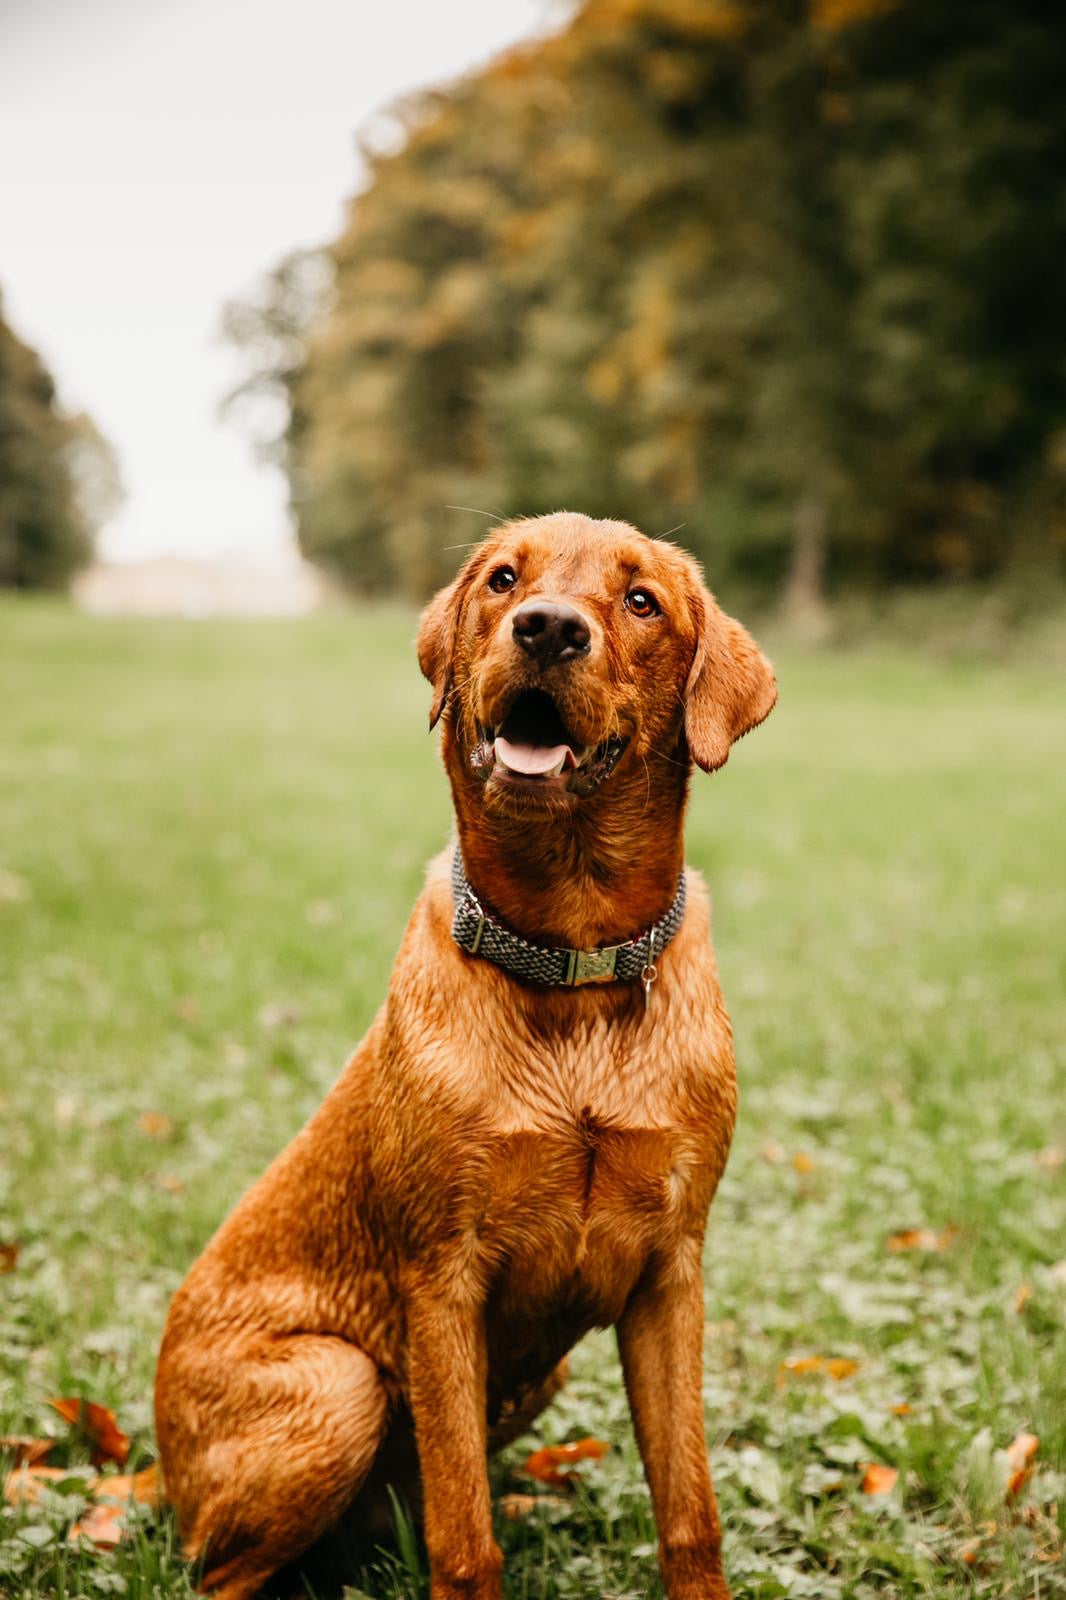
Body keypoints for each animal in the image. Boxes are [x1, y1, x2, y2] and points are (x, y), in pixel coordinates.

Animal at [156, 512, 771, 1600]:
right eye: (503, 580)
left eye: (642, 599)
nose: (548, 629)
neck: (572, 973)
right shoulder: (442, 1283)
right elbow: (462, 1539)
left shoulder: (670, 1271)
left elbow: (690, 1511)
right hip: (341, 1385)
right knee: (220, 1570)